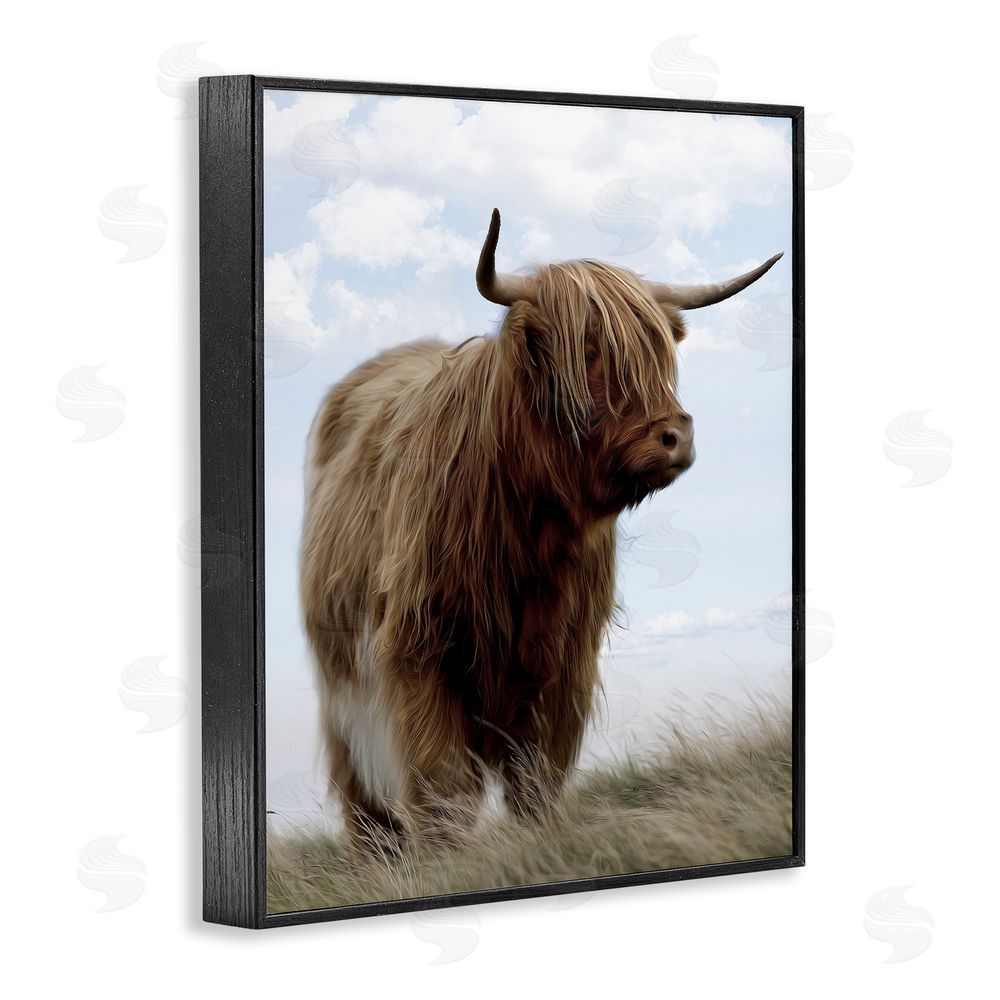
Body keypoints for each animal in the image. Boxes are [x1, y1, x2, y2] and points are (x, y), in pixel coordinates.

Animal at [300, 208, 781, 847]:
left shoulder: (564, 660)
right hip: (343, 688)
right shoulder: (419, 647)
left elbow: (537, 773)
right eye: (589, 351)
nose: (676, 435)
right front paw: (448, 853)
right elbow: (440, 777)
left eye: (658, 352)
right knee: (361, 790)